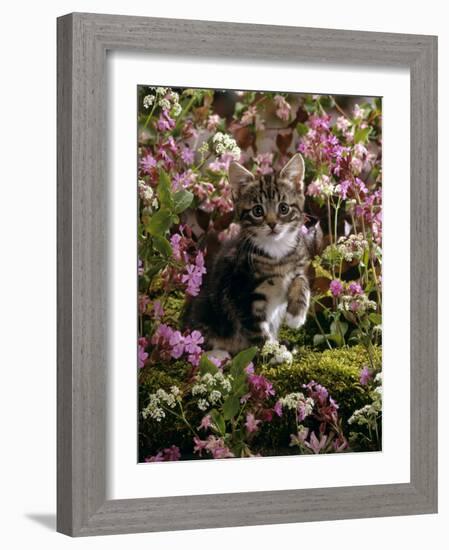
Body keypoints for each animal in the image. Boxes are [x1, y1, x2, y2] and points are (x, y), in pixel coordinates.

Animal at [182, 153, 312, 356]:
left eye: (283, 208)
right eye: (258, 211)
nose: (272, 224)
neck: (277, 254)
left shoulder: (297, 263)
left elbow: (302, 280)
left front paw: (296, 315)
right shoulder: (240, 294)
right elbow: (256, 330)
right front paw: (271, 353)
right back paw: (218, 353)